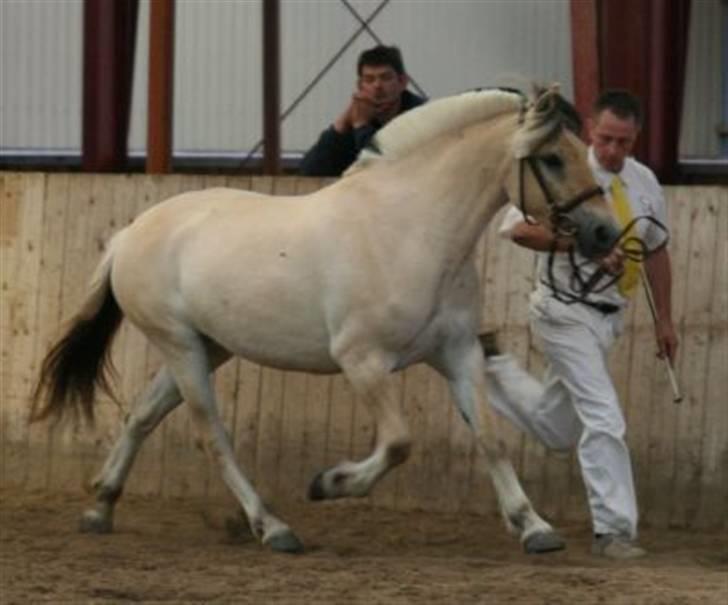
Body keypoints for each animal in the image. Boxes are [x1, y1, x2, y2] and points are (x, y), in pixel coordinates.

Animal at [31, 85, 616, 552]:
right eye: (553, 158)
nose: (605, 233)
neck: (410, 228)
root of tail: (130, 233)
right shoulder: (363, 361)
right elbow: (399, 442)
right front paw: (328, 484)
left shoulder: (458, 353)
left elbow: (490, 438)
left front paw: (534, 527)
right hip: (181, 347)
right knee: (211, 435)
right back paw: (272, 528)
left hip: (205, 346)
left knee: (142, 416)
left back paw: (100, 508)